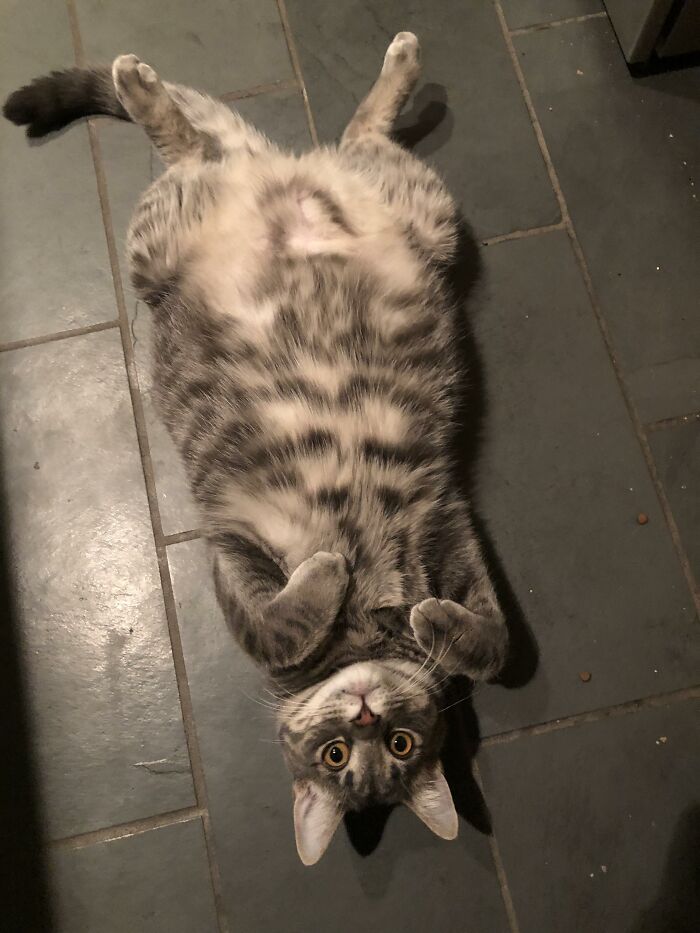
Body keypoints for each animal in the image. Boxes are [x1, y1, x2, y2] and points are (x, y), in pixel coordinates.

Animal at [4, 34, 508, 868]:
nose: (365, 716)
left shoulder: (448, 521)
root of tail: (274, 174)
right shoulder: (231, 543)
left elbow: (497, 642)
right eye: (335, 755)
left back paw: (396, 65)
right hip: (161, 241)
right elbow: (277, 625)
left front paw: (439, 624)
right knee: (193, 140)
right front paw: (332, 578)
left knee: (339, 133)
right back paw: (139, 82)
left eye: (400, 745)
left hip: (421, 212)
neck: (369, 624)